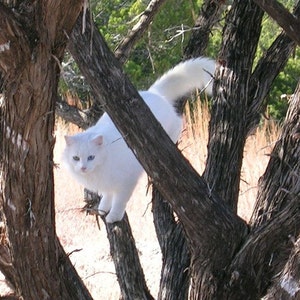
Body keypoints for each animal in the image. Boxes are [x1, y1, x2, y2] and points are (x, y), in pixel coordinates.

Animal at [62, 58, 214, 223]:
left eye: (91, 157)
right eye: (76, 158)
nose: (83, 167)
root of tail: (153, 93)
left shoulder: (126, 183)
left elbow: (119, 202)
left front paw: (113, 217)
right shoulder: (108, 184)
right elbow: (107, 196)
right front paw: (103, 208)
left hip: (172, 128)